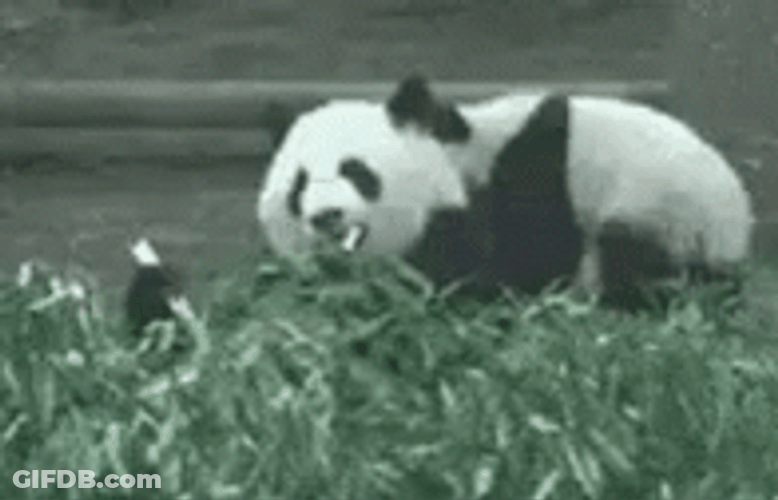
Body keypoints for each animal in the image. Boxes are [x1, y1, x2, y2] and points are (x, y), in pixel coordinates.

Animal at [257, 74, 754, 308]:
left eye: (357, 172)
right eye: (300, 185)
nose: (326, 216)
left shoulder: (524, 173)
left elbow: (522, 261)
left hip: (661, 216)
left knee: (631, 267)